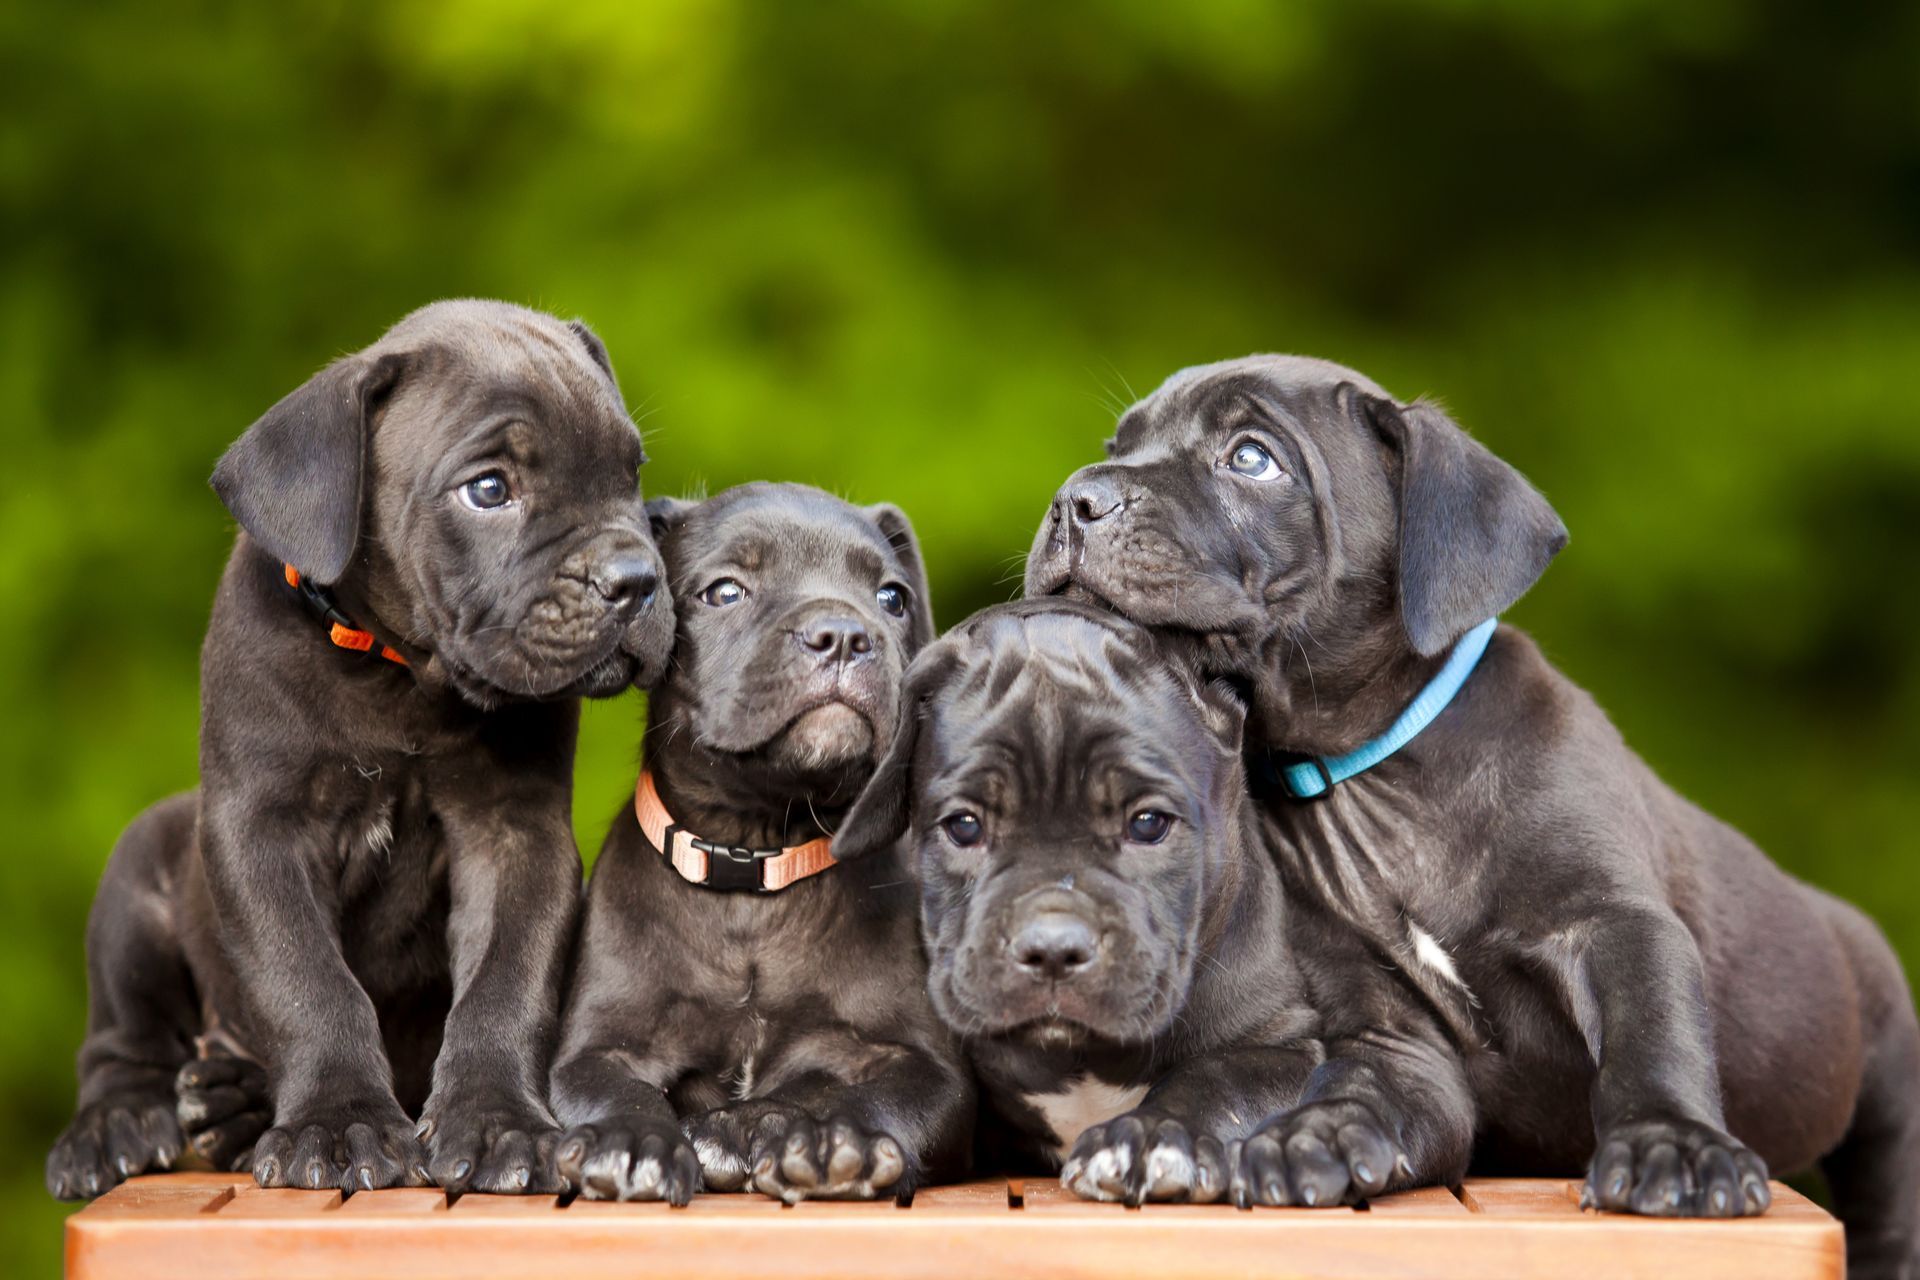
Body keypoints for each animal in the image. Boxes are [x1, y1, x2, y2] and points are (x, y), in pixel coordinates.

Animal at [45, 301, 675, 1205]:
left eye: (631, 473)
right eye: (490, 489)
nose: (636, 577)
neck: (398, 675)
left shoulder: (515, 837)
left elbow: (505, 985)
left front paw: (495, 1122)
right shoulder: (261, 833)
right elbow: (310, 984)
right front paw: (338, 1123)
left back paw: (232, 1105)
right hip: (137, 879)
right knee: (119, 1040)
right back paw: (119, 1125)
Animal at [556, 485, 975, 1205]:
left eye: (892, 597)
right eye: (725, 591)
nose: (845, 635)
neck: (753, 860)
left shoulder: (928, 1068)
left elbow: (862, 1093)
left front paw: (825, 1137)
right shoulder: (592, 1052)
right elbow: (614, 1092)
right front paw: (634, 1141)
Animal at [840, 606, 1466, 1205]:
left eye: (1147, 823)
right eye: (964, 827)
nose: (1052, 949)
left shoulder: (1281, 1045)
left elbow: (1217, 1081)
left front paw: (1153, 1137)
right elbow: (902, 1089)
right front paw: (842, 1134)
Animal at [1036, 358, 1920, 1274]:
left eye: (1251, 457)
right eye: (1118, 447)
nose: (1076, 498)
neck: (1380, 781)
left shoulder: (1617, 925)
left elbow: (1653, 1038)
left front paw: (1671, 1144)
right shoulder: (1388, 1027)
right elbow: (1377, 1093)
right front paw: (1313, 1138)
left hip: (1889, 1057)